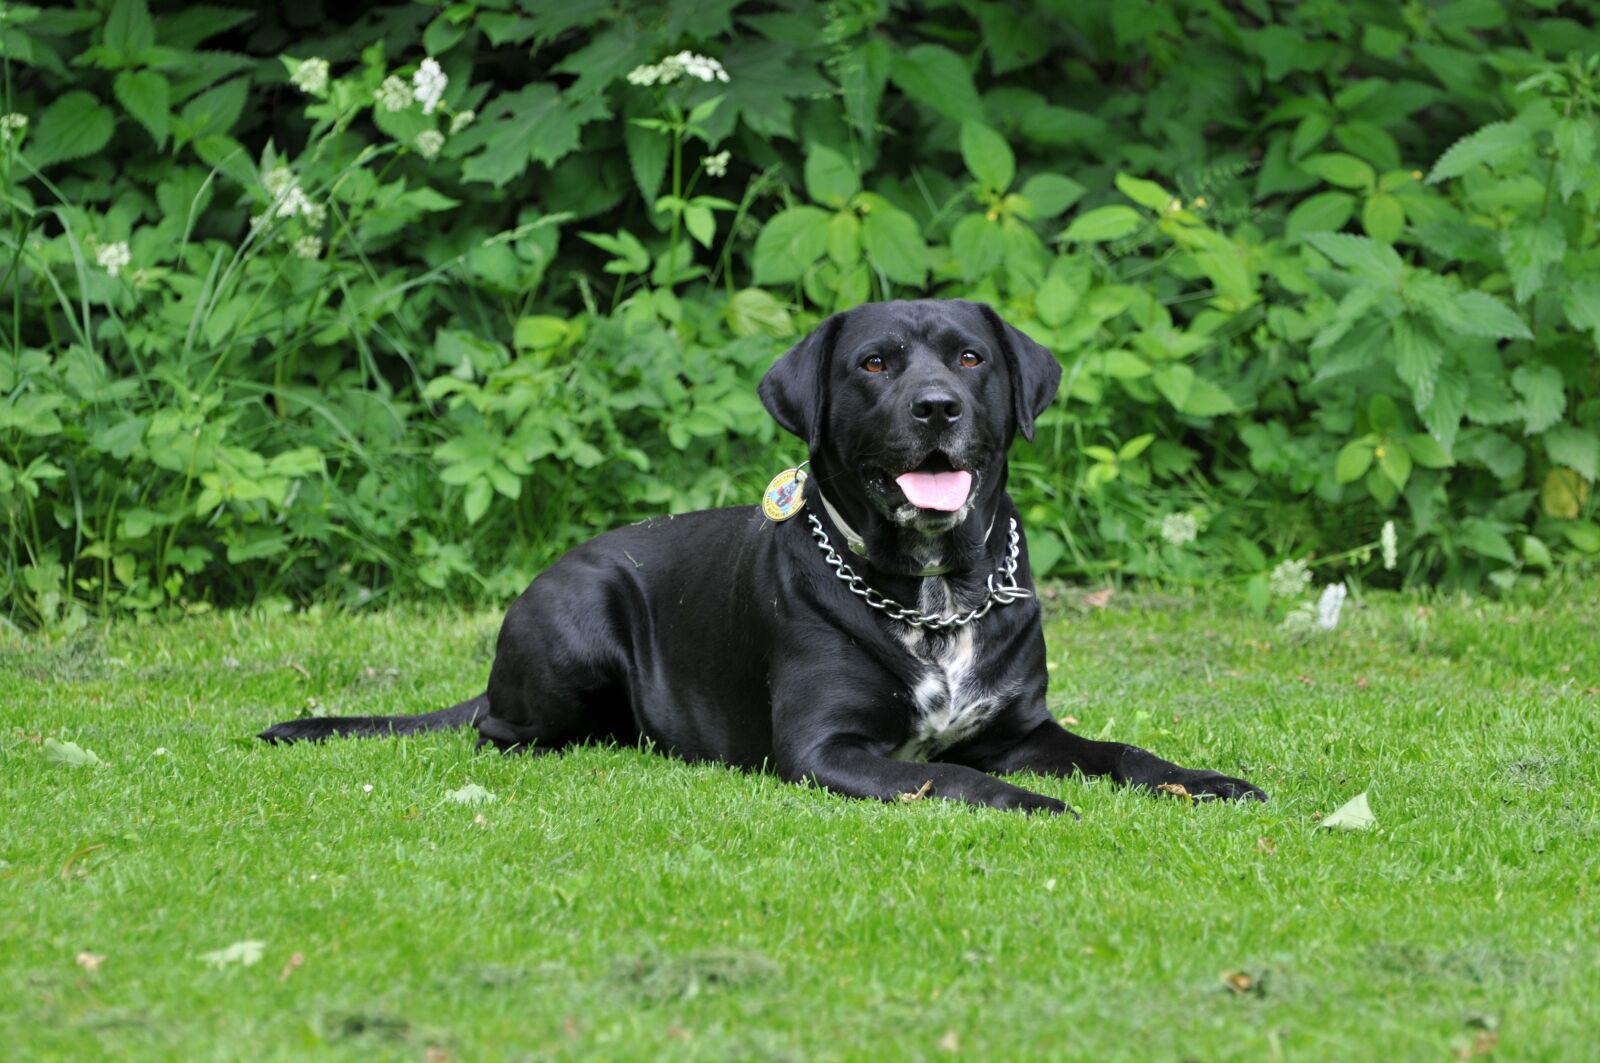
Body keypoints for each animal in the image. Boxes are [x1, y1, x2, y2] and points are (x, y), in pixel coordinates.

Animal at [259, 299, 1260, 813]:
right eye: (874, 363)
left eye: (972, 358)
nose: (937, 406)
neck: (936, 593)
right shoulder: (824, 746)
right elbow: (940, 771)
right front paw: (1031, 804)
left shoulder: (1022, 729)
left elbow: (1123, 750)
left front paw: (1203, 779)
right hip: (574, 629)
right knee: (498, 732)